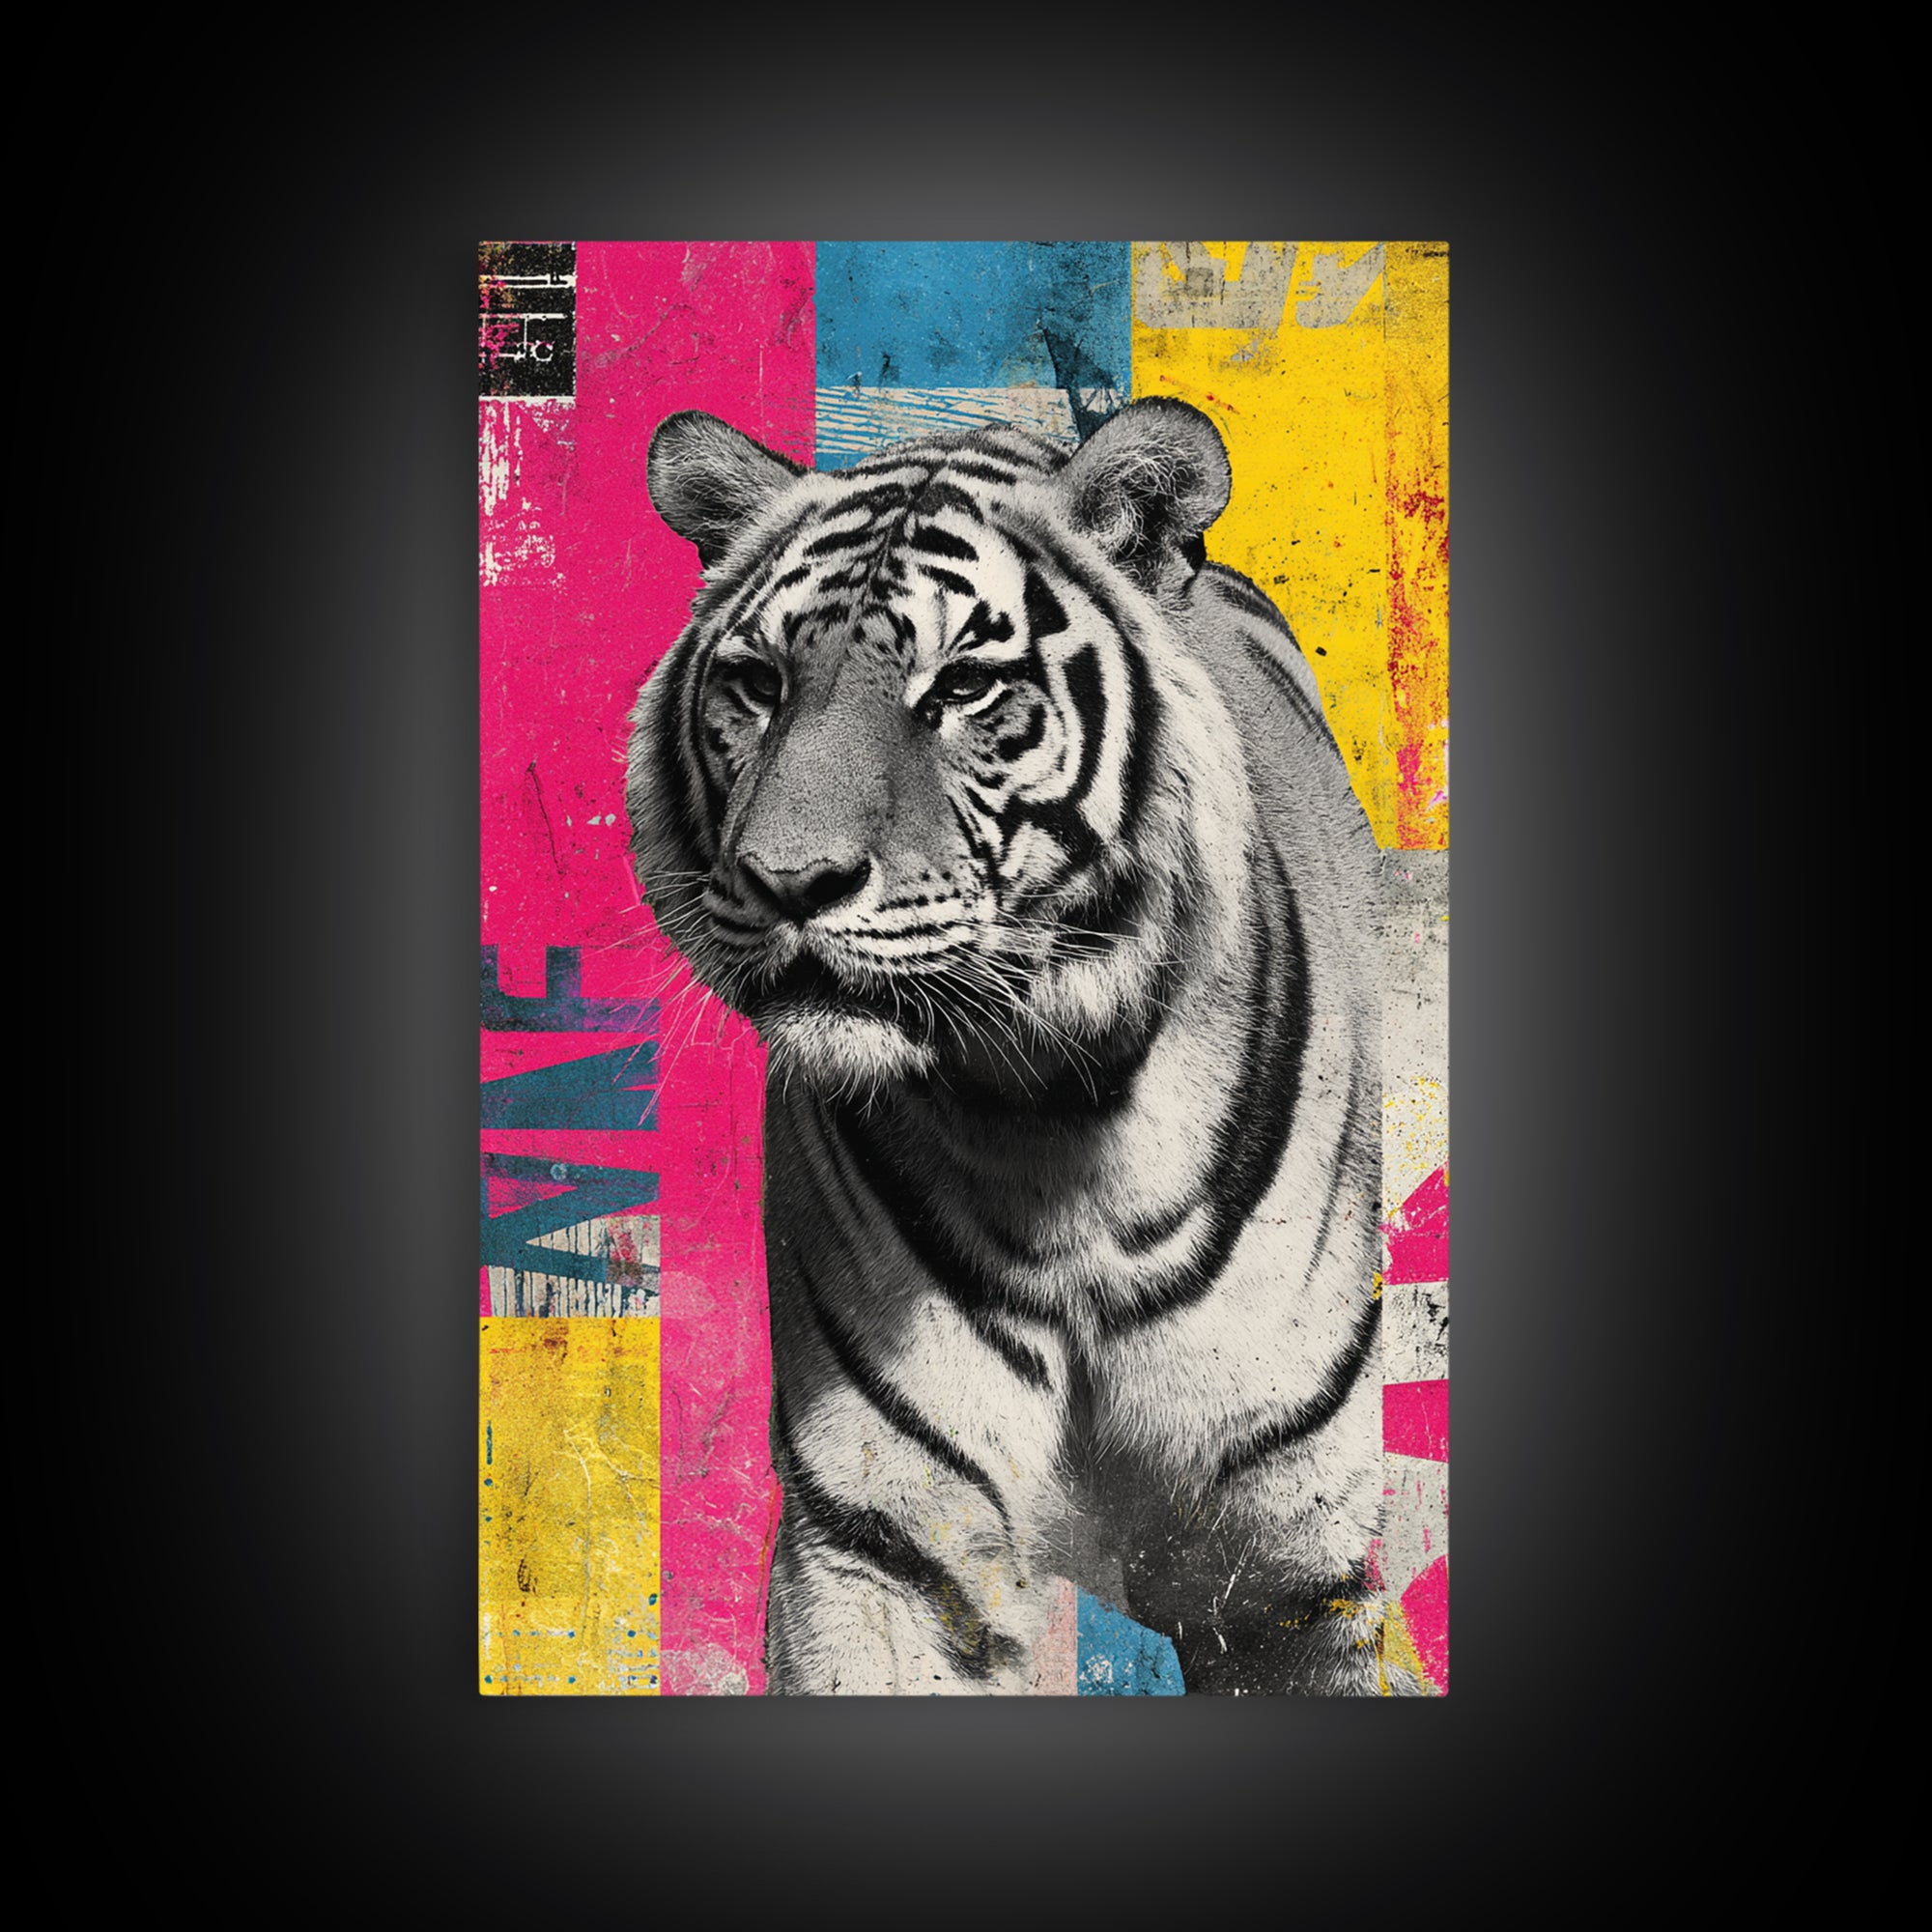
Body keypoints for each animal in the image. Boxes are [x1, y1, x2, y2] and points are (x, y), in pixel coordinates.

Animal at [625, 397, 1420, 1695]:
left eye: (959, 688)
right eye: (757, 683)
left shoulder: (1290, 1575)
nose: (788, 880)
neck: (1044, 1117)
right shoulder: (882, 1546)